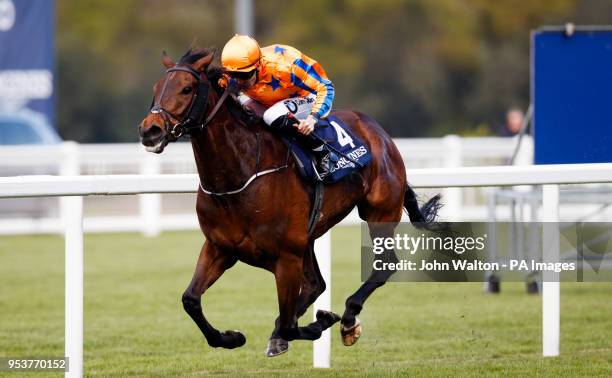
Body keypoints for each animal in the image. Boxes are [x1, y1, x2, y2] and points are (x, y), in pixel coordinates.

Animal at [138, 48, 442, 358]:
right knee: (315, 285)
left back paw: (347, 319)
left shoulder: (286, 256)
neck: (239, 176)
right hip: (308, 238)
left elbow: (288, 324)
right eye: (156, 89)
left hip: (378, 212)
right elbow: (190, 300)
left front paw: (320, 322)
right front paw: (231, 337)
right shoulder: (220, 248)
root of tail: (378, 131)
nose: (150, 131)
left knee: (383, 266)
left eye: (186, 89)